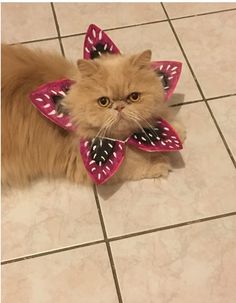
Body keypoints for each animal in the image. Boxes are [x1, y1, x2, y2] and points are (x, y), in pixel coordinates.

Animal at [1, 43, 186, 188]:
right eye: (103, 101)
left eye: (134, 97)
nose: (119, 107)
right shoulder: (82, 160)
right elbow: (133, 164)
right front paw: (158, 163)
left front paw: (176, 130)